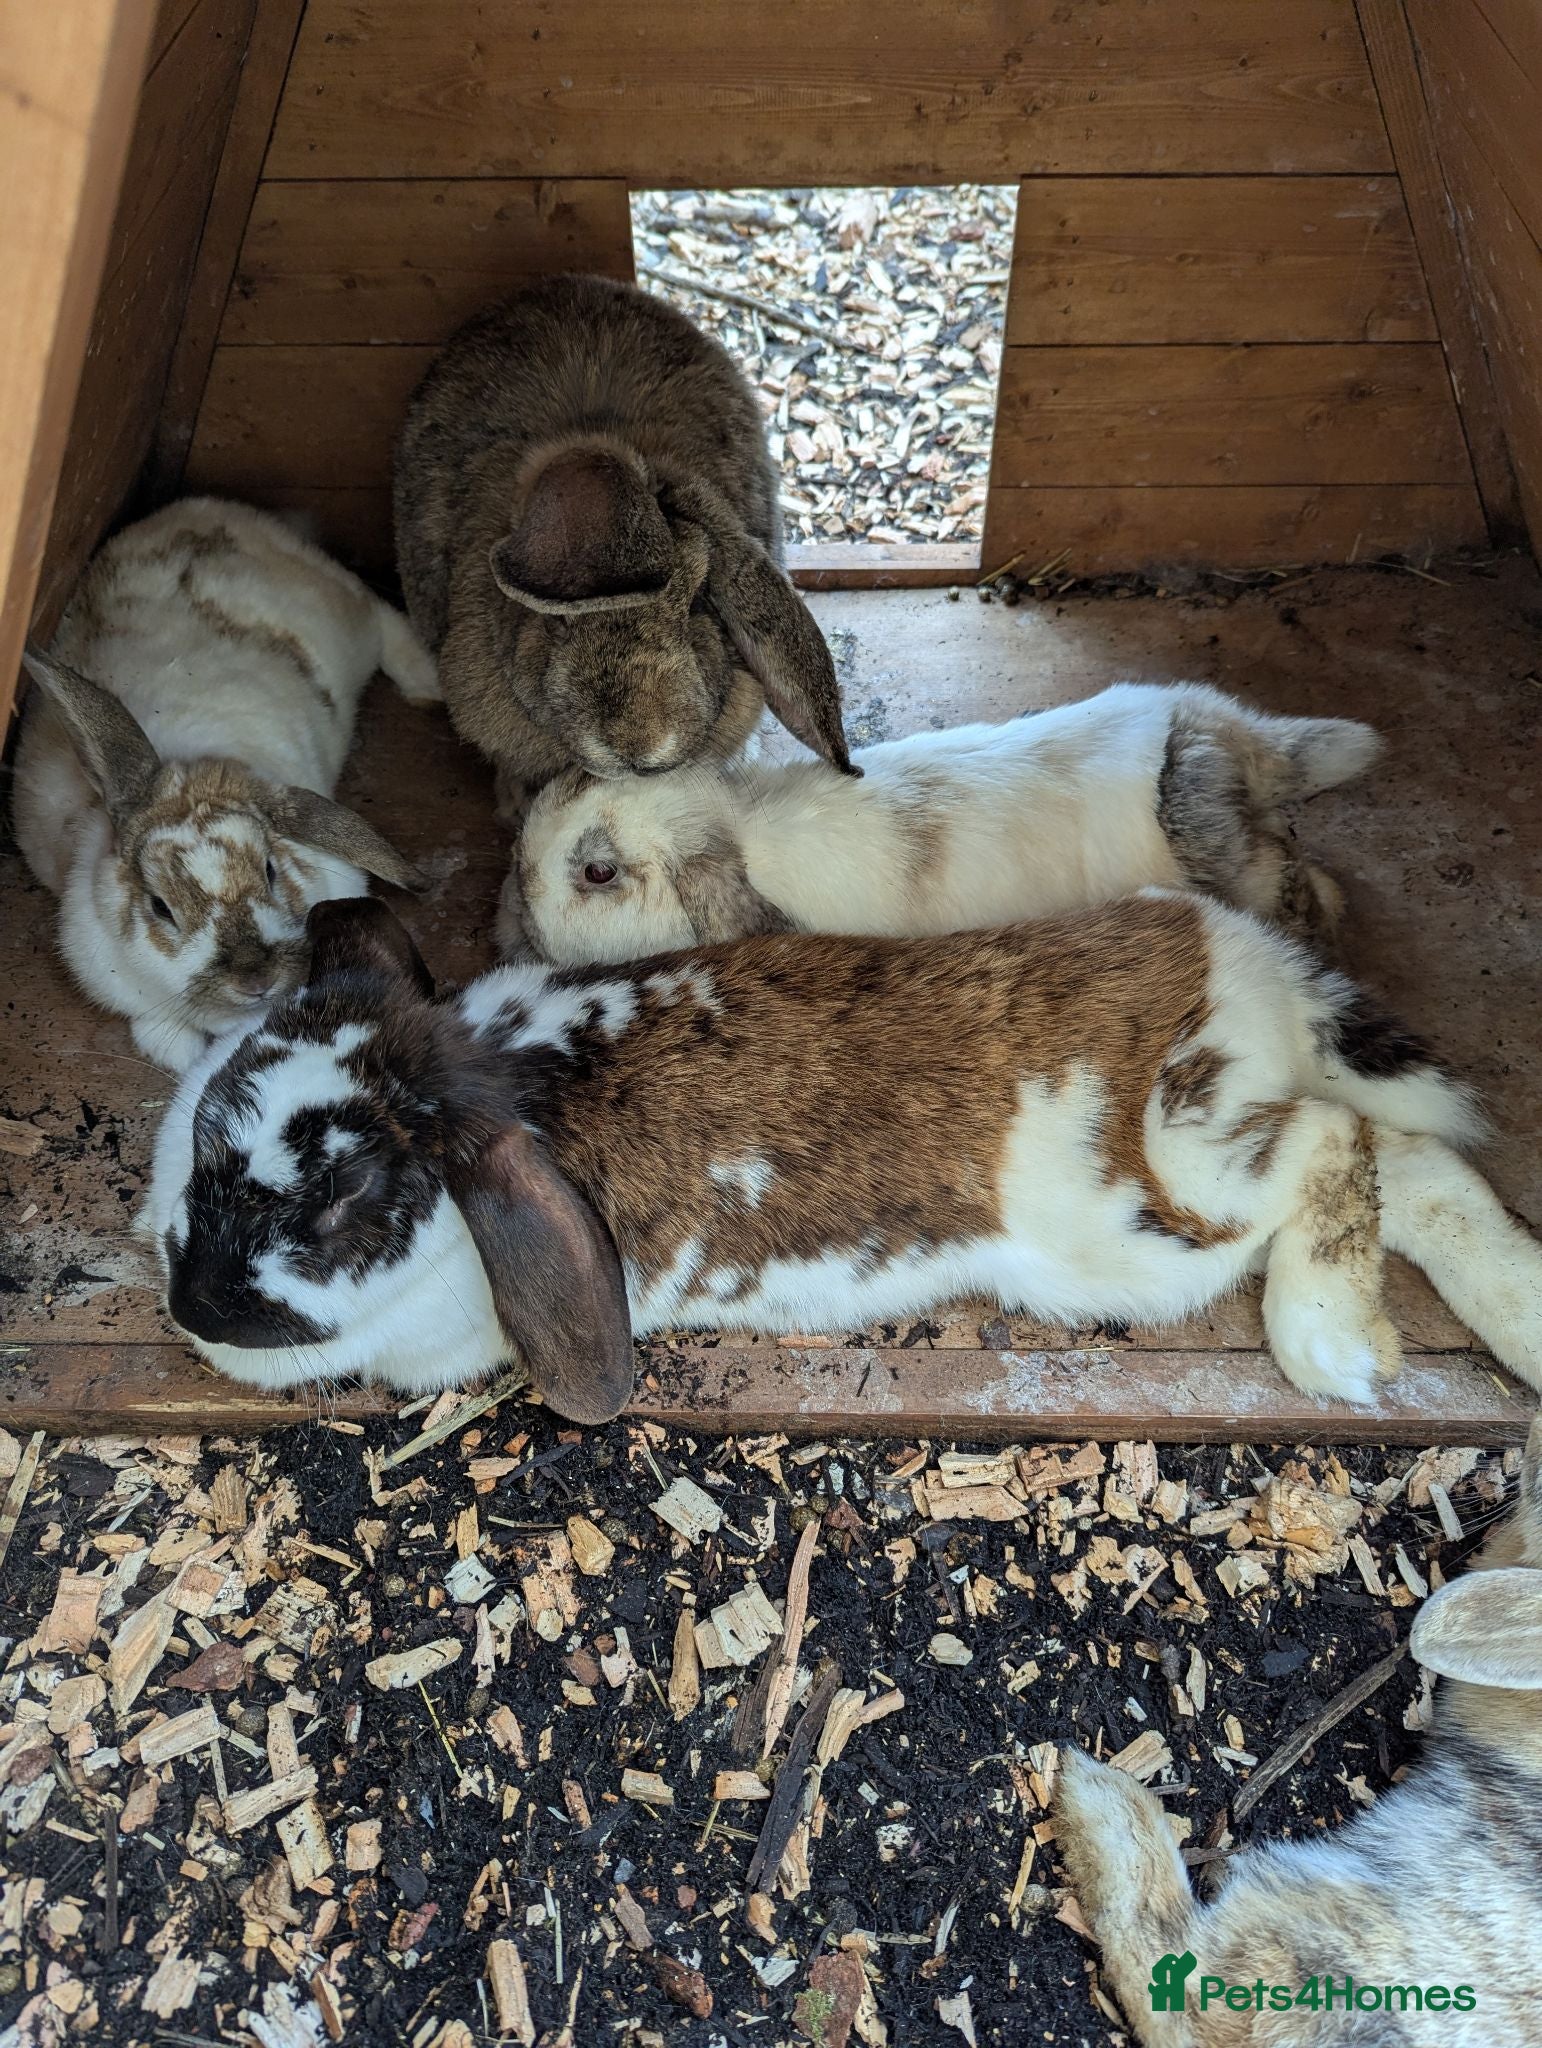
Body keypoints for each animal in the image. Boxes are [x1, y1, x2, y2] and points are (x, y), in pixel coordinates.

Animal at [10, 497, 435, 1073]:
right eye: (159, 908)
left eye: (272, 871)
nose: (255, 980)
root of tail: (209, 507)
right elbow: (165, 1036)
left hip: (346, 613)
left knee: (383, 615)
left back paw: (428, 685)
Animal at [139, 890, 1542, 1427]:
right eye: (208, 1124)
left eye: (342, 1196)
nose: (194, 1302)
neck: (507, 1070)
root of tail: (1247, 961)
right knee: (1417, 1162)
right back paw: (1518, 1320)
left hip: (1170, 1192)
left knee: (1335, 1141)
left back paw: (1335, 1344)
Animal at [510, 681, 1382, 963]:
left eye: (597, 872)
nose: (519, 898)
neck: (744, 831)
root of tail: (1221, 739)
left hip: (1233, 862)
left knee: (1288, 875)